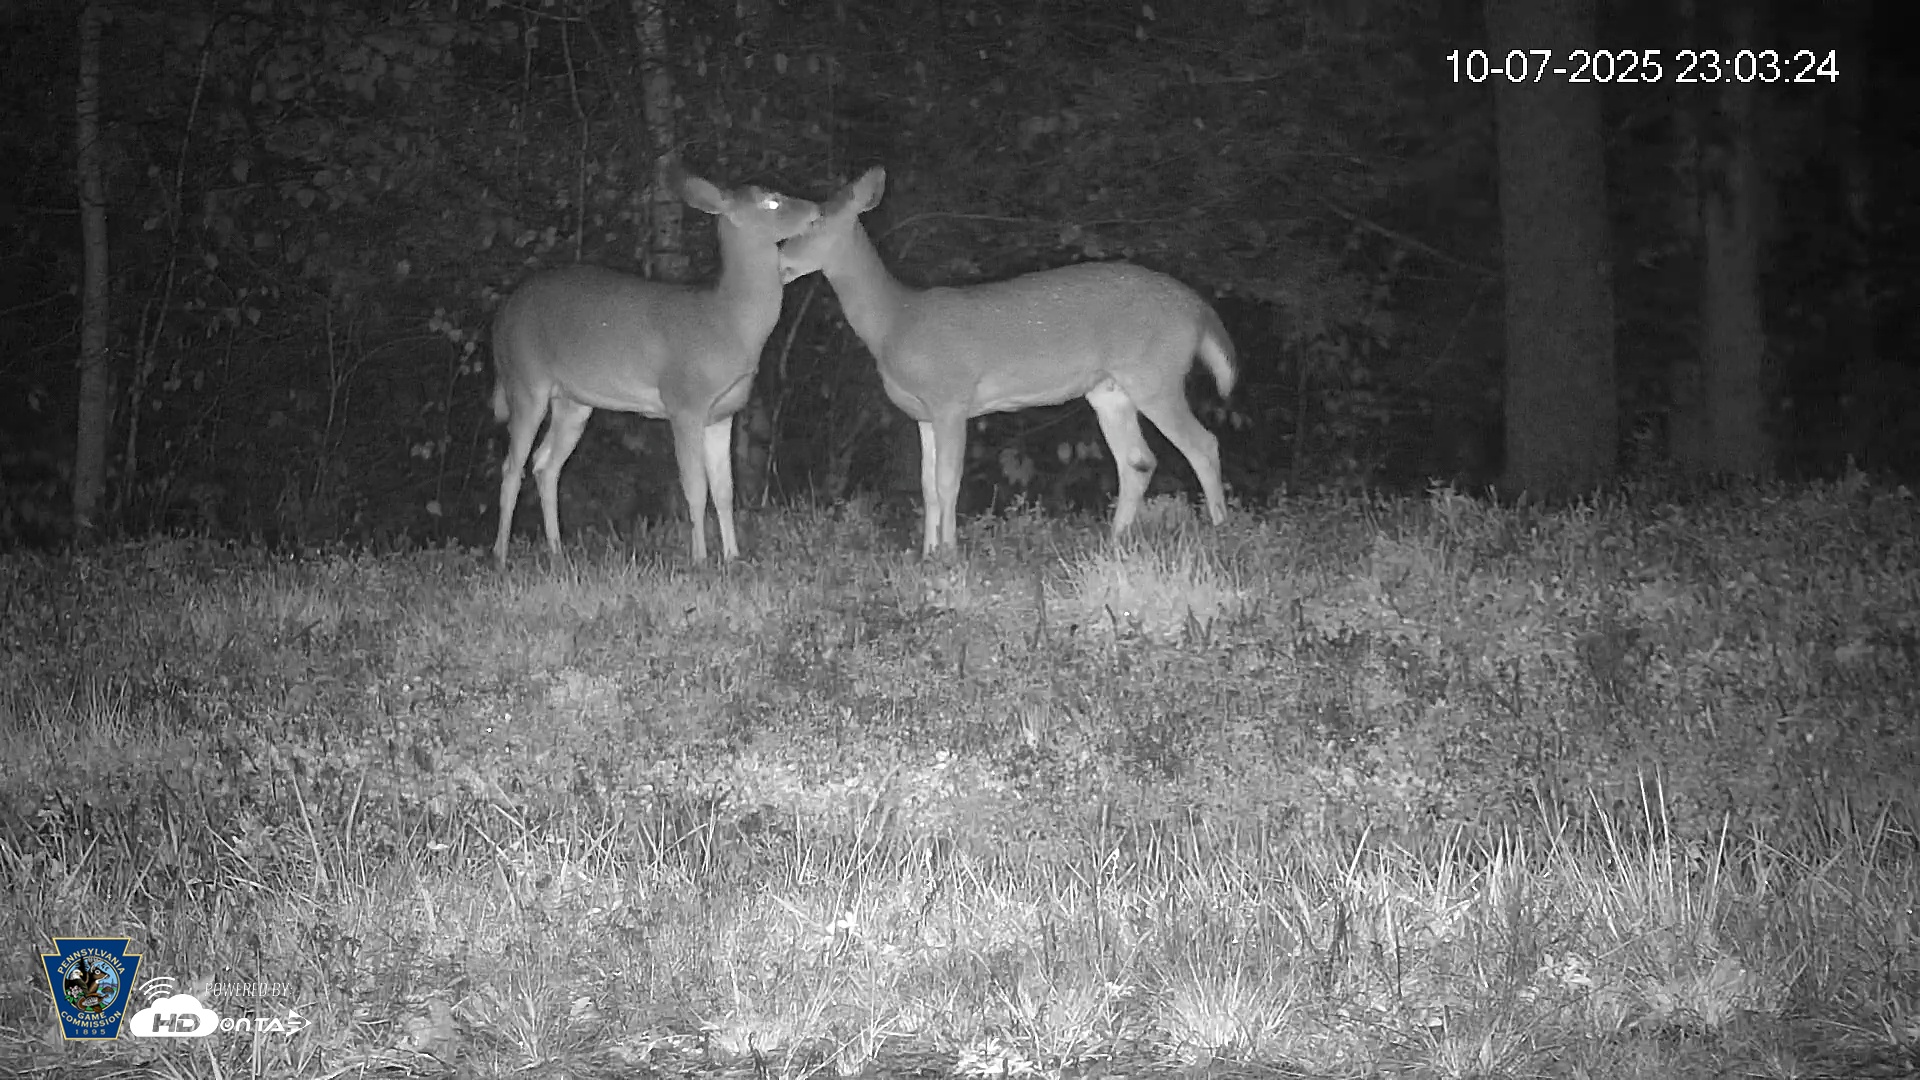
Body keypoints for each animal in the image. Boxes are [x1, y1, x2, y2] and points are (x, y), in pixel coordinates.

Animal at [490, 168, 821, 567]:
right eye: (770, 201)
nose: (816, 209)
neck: (728, 323)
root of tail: (500, 320)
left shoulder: (722, 413)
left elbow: (725, 490)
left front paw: (732, 557)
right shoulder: (684, 401)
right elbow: (695, 488)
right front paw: (700, 560)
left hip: (573, 401)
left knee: (545, 464)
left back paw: (556, 552)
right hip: (525, 379)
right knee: (512, 468)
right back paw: (501, 557)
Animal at [777, 167, 1235, 556]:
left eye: (815, 221)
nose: (778, 254)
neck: (895, 321)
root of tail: (1199, 310)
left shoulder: (951, 396)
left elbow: (948, 481)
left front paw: (949, 555)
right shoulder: (922, 413)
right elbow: (926, 485)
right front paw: (926, 555)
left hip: (1155, 374)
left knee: (1203, 445)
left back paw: (1220, 534)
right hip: (1110, 389)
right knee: (1138, 461)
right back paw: (1114, 542)